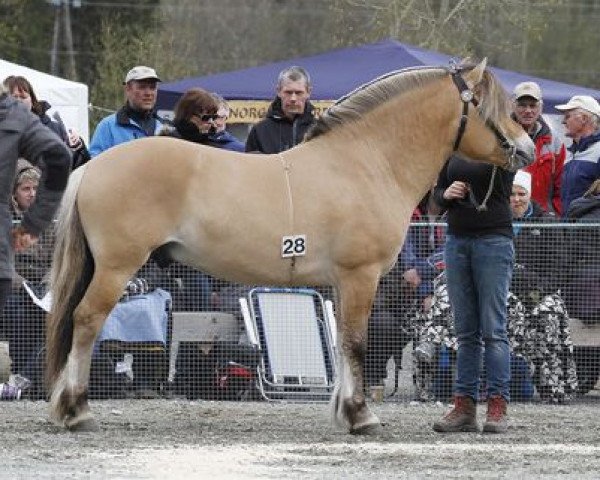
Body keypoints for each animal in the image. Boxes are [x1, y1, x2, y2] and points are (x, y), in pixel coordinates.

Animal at [47, 59, 536, 432]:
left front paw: (344, 412)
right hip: (116, 268)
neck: (365, 162)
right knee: (86, 322)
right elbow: (356, 344)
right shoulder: (360, 276)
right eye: (490, 106)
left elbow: (340, 344)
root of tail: (91, 167)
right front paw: (360, 416)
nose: (529, 148)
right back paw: (77, 411)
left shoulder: (340, 283)